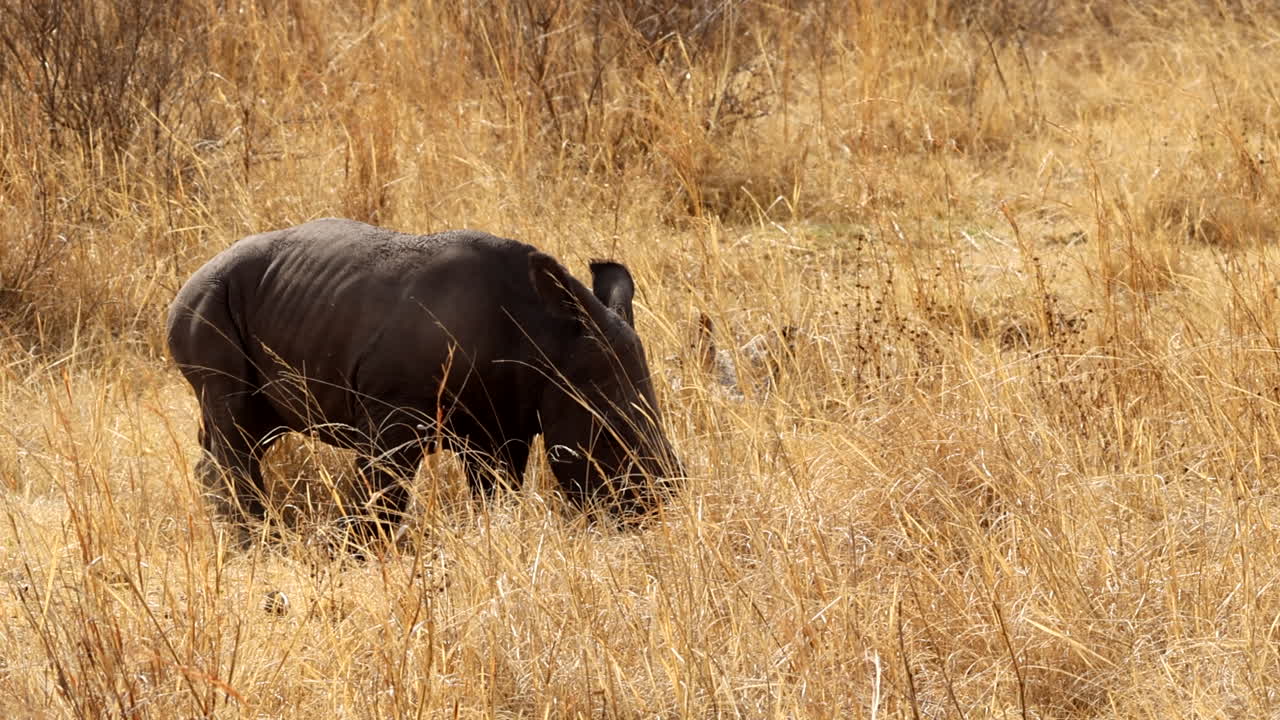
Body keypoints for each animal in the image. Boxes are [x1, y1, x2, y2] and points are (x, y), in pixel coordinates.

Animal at [166, 218, 682, 540]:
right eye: (612, 435)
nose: (661, 505)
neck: (549, 340)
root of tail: (186, 282)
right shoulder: (396, 413)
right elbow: (383, 493)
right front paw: (350, 554)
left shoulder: (501, 425)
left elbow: (495, 492)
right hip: (206, 302)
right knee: (233, 418)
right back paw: (259, 541)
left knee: (253, 428)